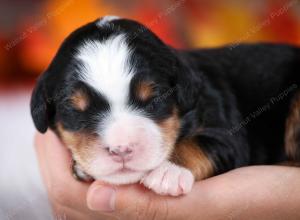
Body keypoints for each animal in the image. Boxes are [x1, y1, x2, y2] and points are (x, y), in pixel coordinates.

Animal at [30, 16, 300, 196]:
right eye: (75, 109)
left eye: (155, 99)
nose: (121, 149)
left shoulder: (227, 133)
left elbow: (198, 144)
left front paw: (168, 171)